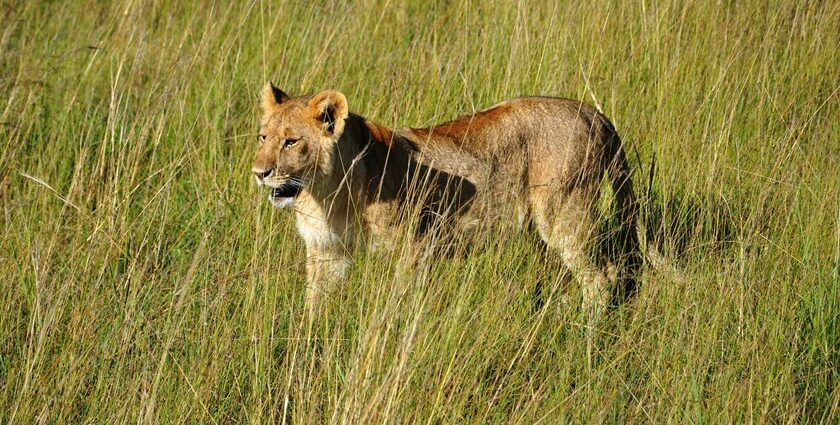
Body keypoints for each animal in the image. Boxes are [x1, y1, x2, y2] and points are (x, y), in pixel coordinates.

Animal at [253, 82, 640, 318]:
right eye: (263, 137)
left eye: (291, 142)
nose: (259, 172)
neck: (325, 193)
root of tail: (592, 112)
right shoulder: (327, 251)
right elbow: (315, 303)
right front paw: (307, 345)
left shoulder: (415, 244)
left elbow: (400, 300)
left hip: (564, 213)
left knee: (602, 279)